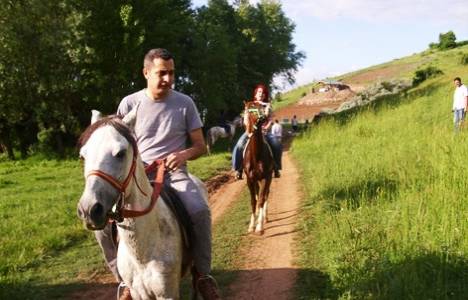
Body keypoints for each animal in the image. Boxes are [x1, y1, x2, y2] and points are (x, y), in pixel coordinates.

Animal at [76, 110, 206, 300]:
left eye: (121, 153)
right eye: (83, 155)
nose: (88, 210)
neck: (141, 254)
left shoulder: (167, 293)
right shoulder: (139, 293)